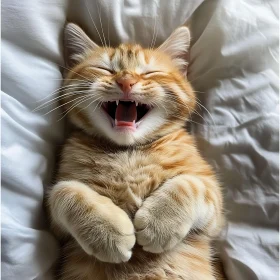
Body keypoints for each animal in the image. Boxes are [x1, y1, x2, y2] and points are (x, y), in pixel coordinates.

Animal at [47, 22, 224, 280]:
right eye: (105, 69)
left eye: (150, 72)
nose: (126, 82)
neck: (128, 151)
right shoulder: (57, 227)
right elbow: (64, 191)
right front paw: (107, 231)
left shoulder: (215, 214)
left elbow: (190, 184)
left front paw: (160, 222)